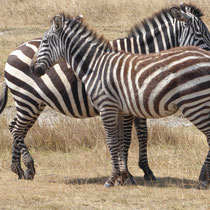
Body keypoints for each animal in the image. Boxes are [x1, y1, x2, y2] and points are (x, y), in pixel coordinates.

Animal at [0, 3, 210, 182]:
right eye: (201, 34)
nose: (207, 59)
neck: (142, 53)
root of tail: (13, 51)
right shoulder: (129, 104)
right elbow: (127, 138)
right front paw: (130, 174)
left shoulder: (136, 101)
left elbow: (141, 135)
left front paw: (143, 171)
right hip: (27, 100)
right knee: (17, 129)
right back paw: (25, 167)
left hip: (34, 102)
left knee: (15, 127)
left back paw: (20, 170)